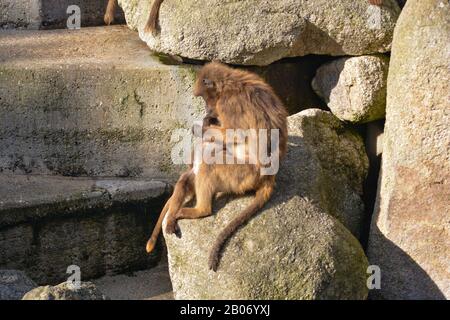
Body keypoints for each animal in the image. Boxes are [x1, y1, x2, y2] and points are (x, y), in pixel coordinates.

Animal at [147, 62, 288, 270]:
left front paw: (201, 127)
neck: (229, 84)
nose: (206, 108)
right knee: (189, 177)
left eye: (204, 97)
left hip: (242, 176)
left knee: (209, 164)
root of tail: (268, 178)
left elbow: (234, 134)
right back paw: (173, 214)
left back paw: (201, 210)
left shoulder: (228, 104)